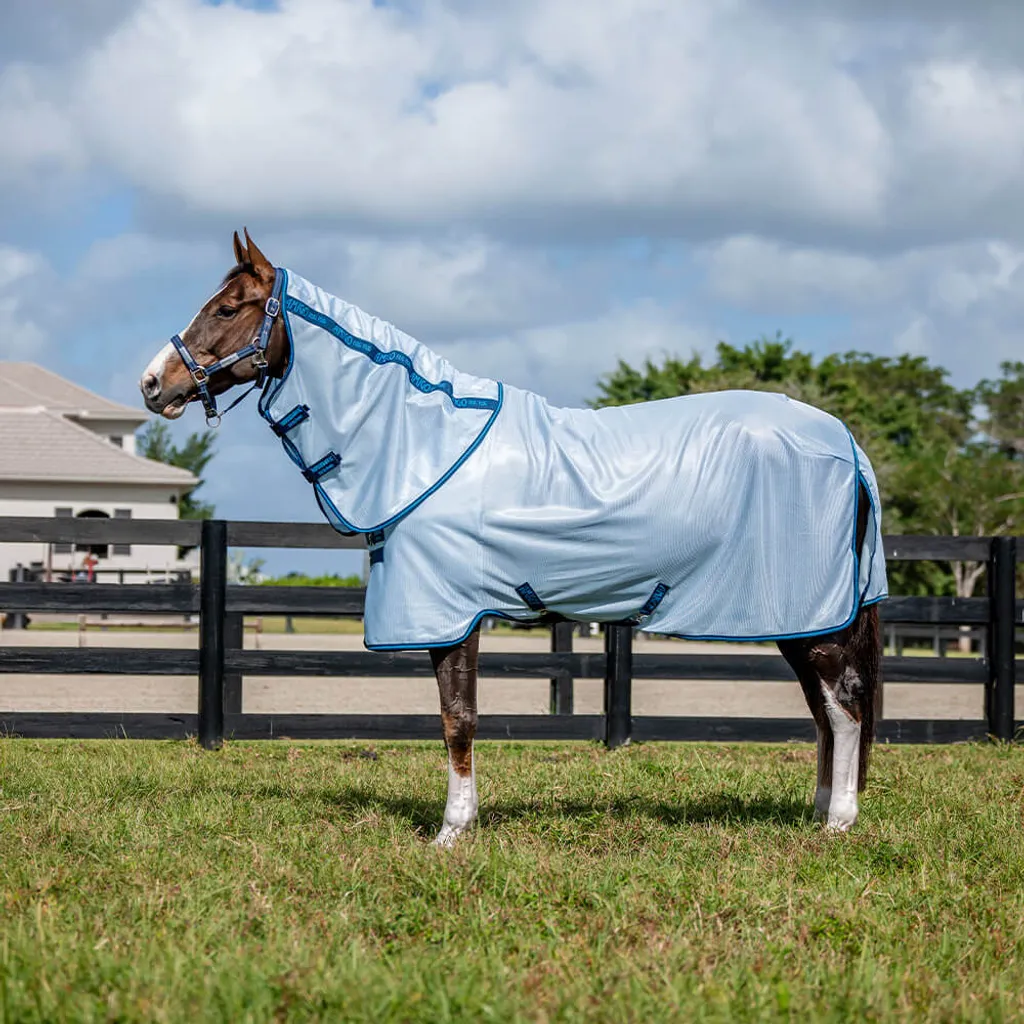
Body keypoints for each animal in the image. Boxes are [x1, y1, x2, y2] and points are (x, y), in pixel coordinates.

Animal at [140, 229, 887, 845]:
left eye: (228, 308)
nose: (153, 383)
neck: (425, 444)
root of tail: (845, 443)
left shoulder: (450, 614)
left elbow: (458, 718)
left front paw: (451, 832)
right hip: (801, 618)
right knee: (823, 710)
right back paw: (818, 810)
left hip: (810, 617)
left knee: (844, 706)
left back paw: (840, 821)